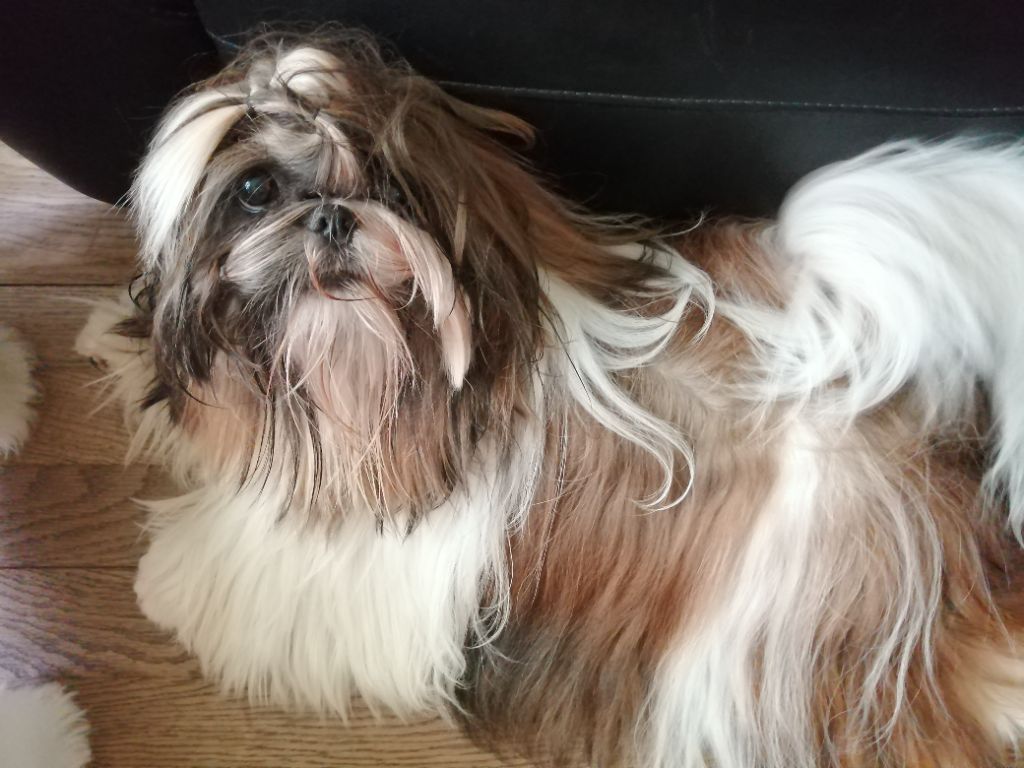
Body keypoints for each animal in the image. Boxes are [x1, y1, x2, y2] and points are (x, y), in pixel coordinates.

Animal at [77, 31, 1024, 767]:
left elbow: (237, 567)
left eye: (390, 184)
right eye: (255, 191)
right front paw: (114, 348)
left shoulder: (367, 561)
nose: (336, 216)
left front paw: (164, 577)